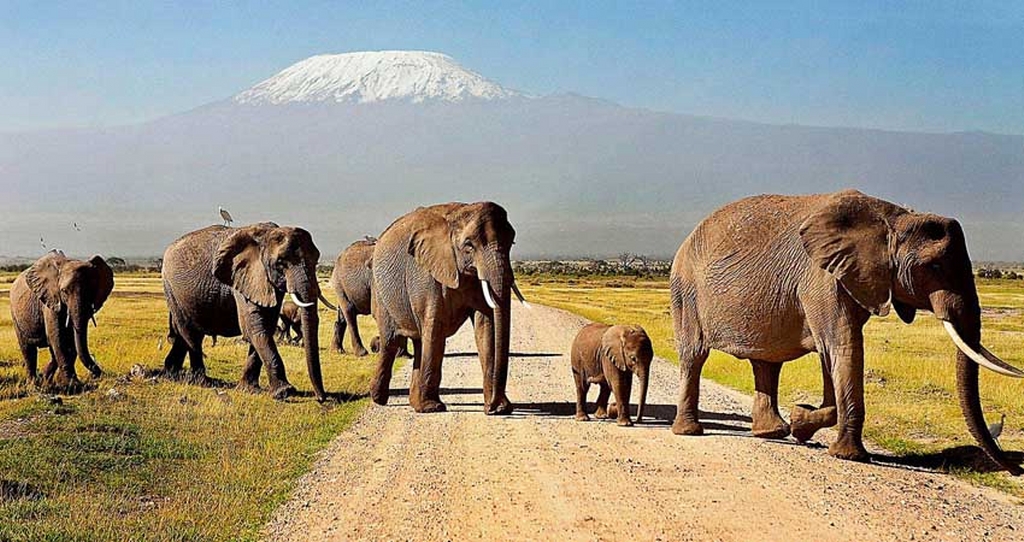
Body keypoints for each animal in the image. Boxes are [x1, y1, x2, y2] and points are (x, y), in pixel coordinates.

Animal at [9, 251, 114, 389]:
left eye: (91, 291)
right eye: (64, 291)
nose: (97, 375)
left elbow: (71, 341)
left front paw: (57, 380)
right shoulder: (51, 300)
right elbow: (58, 338)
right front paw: (72, 385)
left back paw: (45, 379)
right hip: (15, 314)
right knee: (28, 349)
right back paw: (33, 384)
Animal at [161, 223, 336, 401]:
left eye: (316, 261)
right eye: (280, 262)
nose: (322, 398)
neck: (266, 236)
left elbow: (265, 327)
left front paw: (249, 389)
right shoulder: (243, 279)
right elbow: (254, 329)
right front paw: (284, 392)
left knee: (187, 335)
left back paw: (171, 374)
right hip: (172, 290)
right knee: (190, 334)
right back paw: (202, 381)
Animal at [369, 201, 529, 414]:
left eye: (512, 242)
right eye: (469, 245)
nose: (493, 407)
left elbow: (486, 326)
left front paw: (501, 408)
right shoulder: (426, 275)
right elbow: (435, 327)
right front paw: (432, 408)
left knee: (419, 341)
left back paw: (413, 402)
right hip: (381, 293)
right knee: (390, 341)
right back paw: (380, 399)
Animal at [669, 189, 1024, 474]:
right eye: (934, 267)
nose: (1016, 471)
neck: (895, 218)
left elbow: (835, 355)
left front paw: (801, 423)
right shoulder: (822, 279)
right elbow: (842, 347)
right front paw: (844, 452)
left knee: (767, 363)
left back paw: (773, 433)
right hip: (686, 291)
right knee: (694, 356)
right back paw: (690, 432)